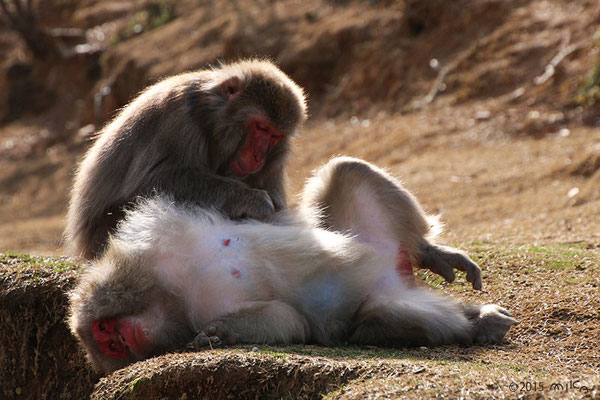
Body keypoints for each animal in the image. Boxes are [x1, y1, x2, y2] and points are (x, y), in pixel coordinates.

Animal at [67, 59, 304, 260]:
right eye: (261, 127)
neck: (210, 119)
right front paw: (252, 199)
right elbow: (150, 184)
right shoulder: (177, 120)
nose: (258, 156)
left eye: (275, 136)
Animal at [69, 156, 516, 372]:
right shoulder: (196, 311)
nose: (118, 341)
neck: (172, 289)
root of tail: (396, 272)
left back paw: (427, 251)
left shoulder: (153, 238)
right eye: (107, 343)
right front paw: (220, 335)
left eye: (105, 331)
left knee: (347, 170)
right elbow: (287, 318)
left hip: (378, 239)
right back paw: (476, 324)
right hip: (386, 298)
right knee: (385, 315)